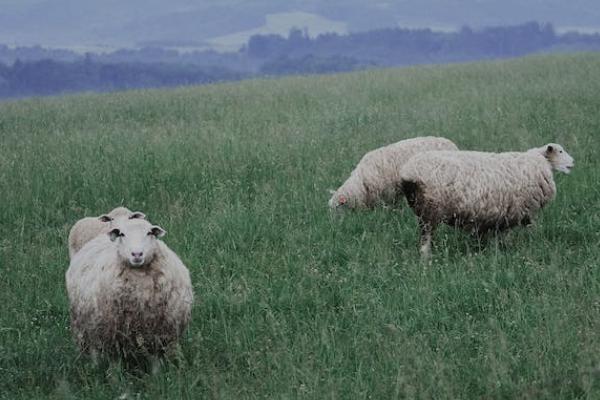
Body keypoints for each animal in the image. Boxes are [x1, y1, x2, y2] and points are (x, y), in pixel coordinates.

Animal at [65, 217, 192, 360]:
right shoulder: (111, 335)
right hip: (86, 328)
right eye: (122, 234)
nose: (137, 254)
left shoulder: (162, 333)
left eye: (150, 233)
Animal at [398, 142, 576, 258]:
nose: (573, 163)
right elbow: (510, 235)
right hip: (431, 210)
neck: (538, 163)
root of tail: (409, 172)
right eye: (560, 151)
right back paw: (426, 260)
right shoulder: (516, 212)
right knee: (425, 240)